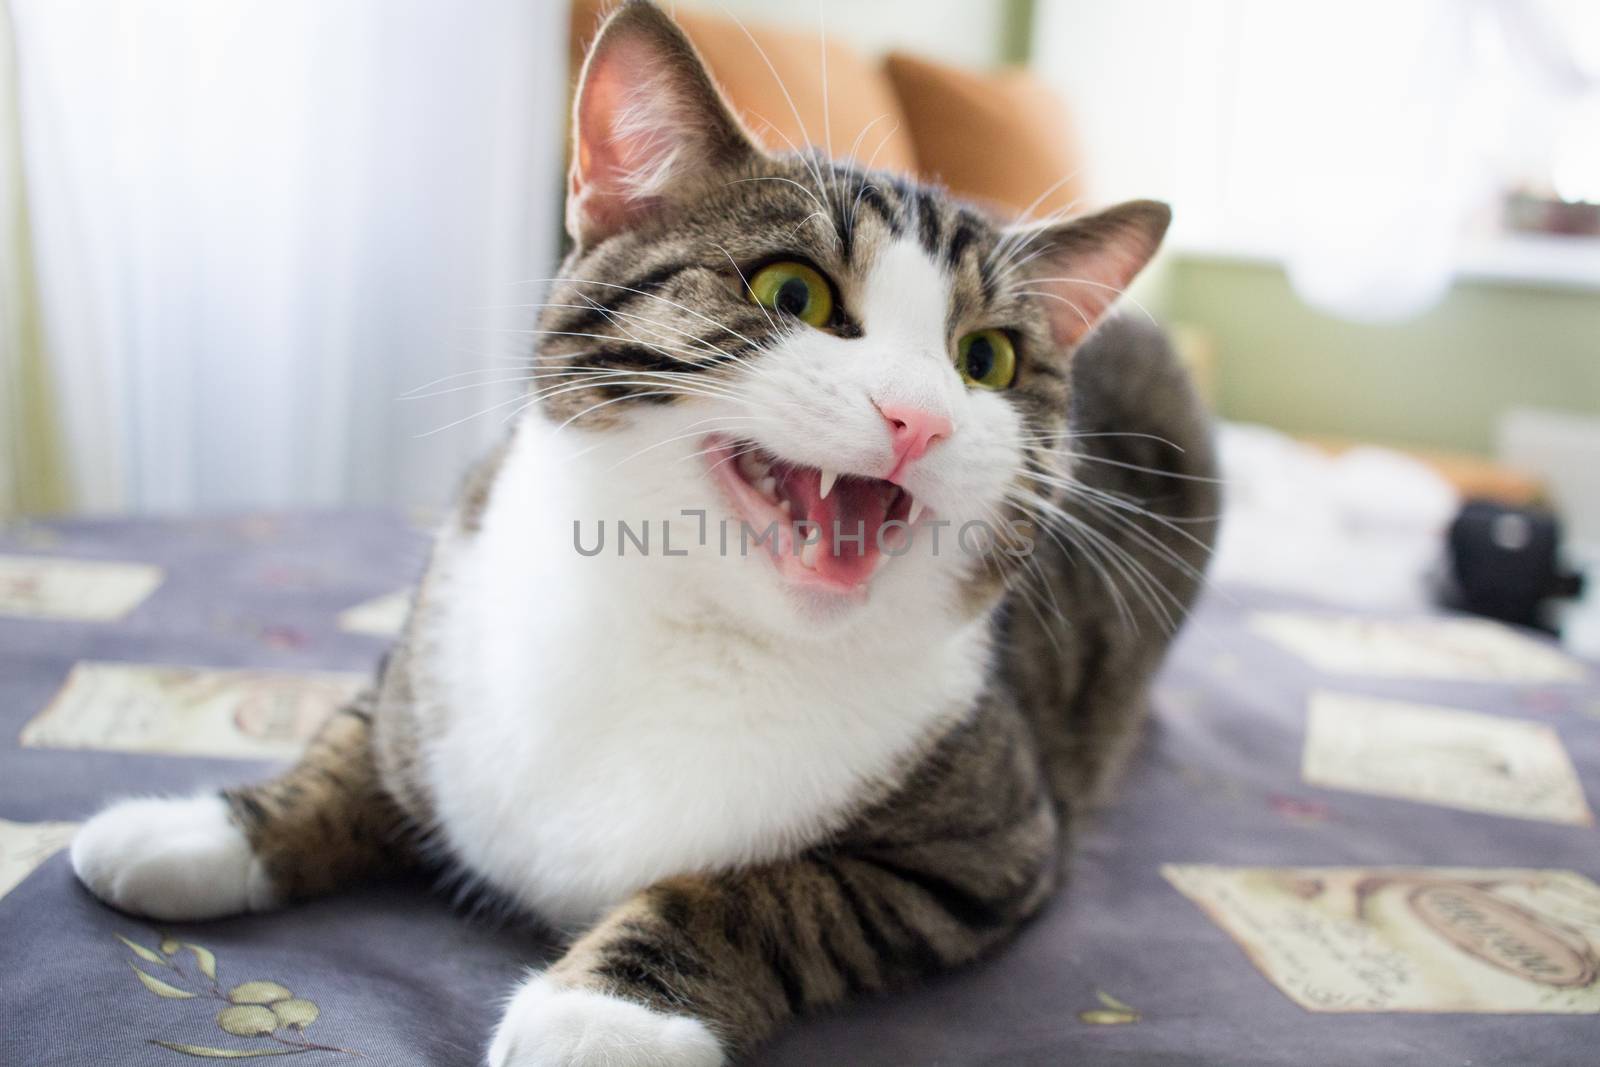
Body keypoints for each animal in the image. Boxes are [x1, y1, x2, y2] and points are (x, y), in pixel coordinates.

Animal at [62, 4, 1209, 1062]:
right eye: (793, 291)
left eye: (986, 361)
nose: (919, 416)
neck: (686, 622)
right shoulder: (434, 645)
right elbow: (355, 744)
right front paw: (203, 827)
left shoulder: (984, 845)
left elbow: (776, 892)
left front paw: (606, 1012)